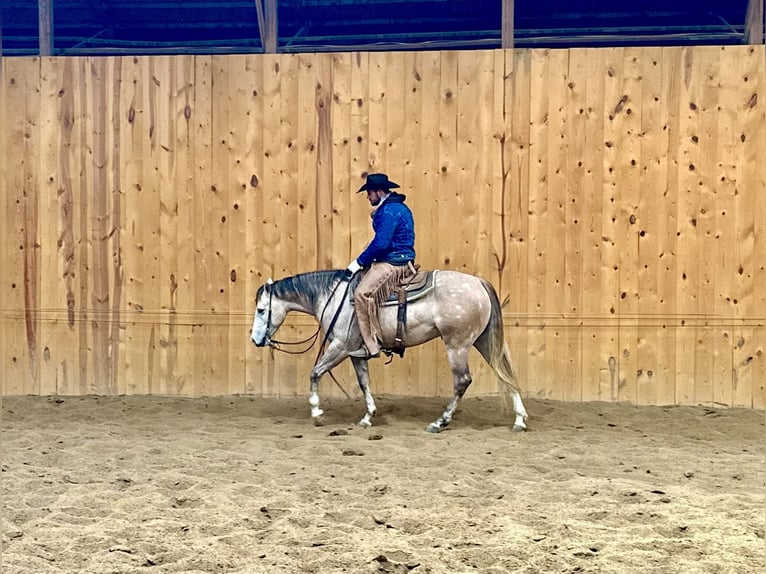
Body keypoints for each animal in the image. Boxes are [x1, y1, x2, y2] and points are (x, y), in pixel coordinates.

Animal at [252, 268, 528, 432]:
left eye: (261, 310)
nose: (255, 340)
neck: (334, 297)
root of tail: (479, 282)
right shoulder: (355, 352)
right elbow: (364, 382)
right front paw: (368, 416)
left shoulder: (340, 346)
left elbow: (315, 372)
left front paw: (317, 412)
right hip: (483, 341)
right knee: (506, 373)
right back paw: (519, 419)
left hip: (457, 345)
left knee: (462, 381)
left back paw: (440, 421)